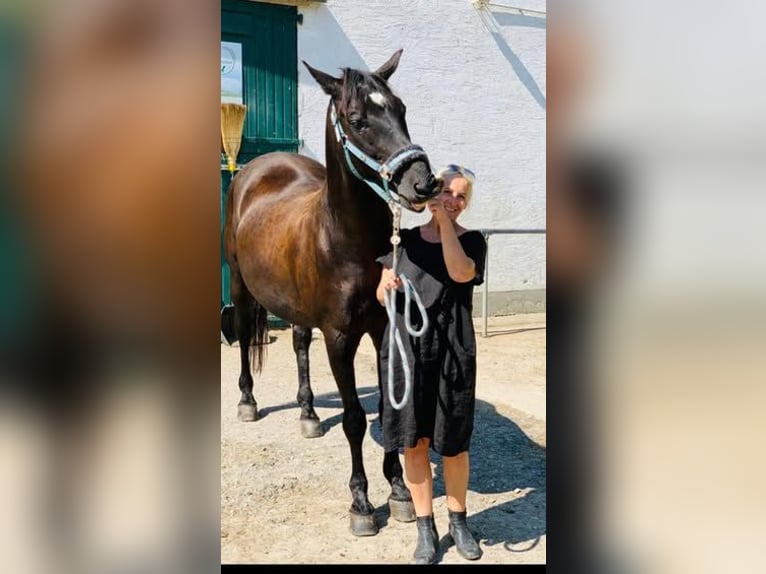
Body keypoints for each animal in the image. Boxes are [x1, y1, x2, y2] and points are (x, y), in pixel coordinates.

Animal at [223, 49, 441, 536]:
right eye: (357, 120)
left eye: (401, 109)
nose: (424, 182)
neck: (347, 242)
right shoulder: (340, 339)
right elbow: (356, 419)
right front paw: (361, 503)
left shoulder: (384, 332)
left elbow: (388, 408)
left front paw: (399, 490)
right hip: (243, 287)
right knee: (244, 337)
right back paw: (248, 401)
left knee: (300, 343)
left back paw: (307, 413)